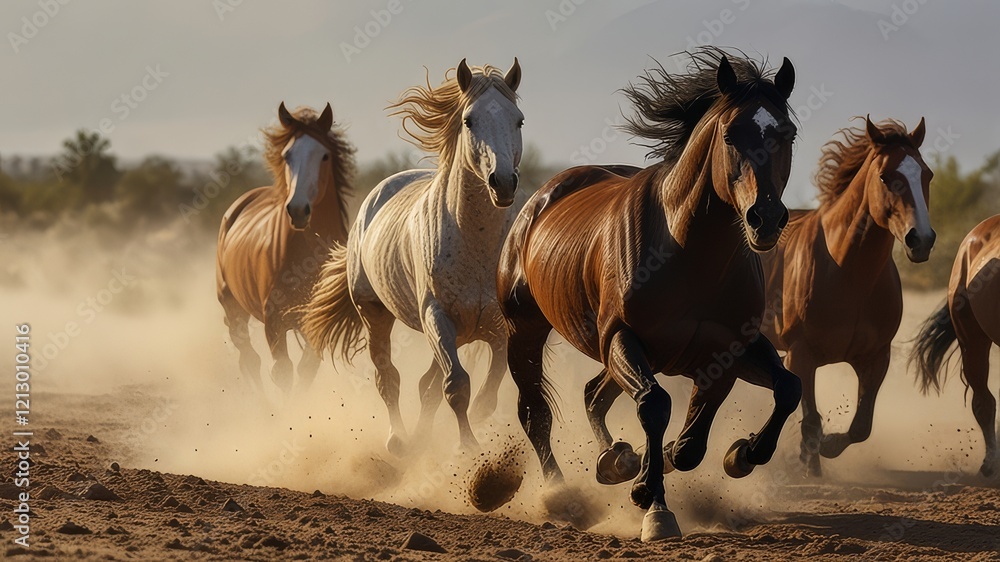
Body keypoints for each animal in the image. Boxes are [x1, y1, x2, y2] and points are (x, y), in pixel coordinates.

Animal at [217, 102, 355, 396]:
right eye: (286, 155)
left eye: (324, 156)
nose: (298, 209)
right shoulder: (274, 321)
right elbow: (282, 373)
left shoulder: (315, 322)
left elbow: (306, 371)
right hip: (232, 308)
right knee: (249, 359)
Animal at [302, 59, 523, 454]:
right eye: (469, 120)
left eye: (519, 121)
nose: (503, 182)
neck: (477, 243)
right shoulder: (437, 317)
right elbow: (457, 386)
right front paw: (468, 449)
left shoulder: (498, 327)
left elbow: (486, 390)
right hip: (375, 314)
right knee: (389, 378)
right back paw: (398, 441)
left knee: (425, 385)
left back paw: (419, 439)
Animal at [496, 49, 799, 541]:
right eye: (730, 134)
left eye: (787, 133)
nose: (766, 219)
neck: (688, 253)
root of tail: (540, 200)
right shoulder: (624, 337)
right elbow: (656, 407)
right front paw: (653, 503)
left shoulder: (728, 349)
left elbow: (779, 393)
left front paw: (738, 453)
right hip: (525, 330)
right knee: (536, 413)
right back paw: (563, 492)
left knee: (594, 394)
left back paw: (615, 459)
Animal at [757, 117, 934, 477]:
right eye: (885, 176)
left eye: (927, 174)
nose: (921, 239)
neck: (848, 274)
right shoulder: (801, 356)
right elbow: (811, 418)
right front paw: (812, 463)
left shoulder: (876, 358)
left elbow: (861, 426)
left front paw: (826, 446)